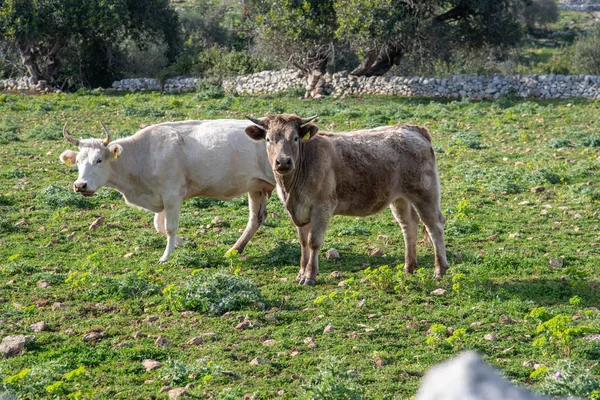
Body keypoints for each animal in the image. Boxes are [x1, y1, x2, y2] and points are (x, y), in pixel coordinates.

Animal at [59, 119, 276, 262]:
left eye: (99, 160)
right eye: (78, 161)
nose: (80, 185)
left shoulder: (172, 195)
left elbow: (170, 227)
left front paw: (166, 256)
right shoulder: (160, 198)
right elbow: (159, 226)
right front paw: (183, 241)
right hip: (256, 186)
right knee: (256, 218)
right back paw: (235, 249)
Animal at [244, 114, 446, 286]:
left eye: (295, 138)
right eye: (268, 139)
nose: (283, 162)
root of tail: (412, 129)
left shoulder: (322, 207)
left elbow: (314, 241)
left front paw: (310, 276)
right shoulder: (297, 211)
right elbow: (303, 242)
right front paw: (301, 273)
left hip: (425, 192)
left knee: (434, 225)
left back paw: (439, 270)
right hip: (400, 197)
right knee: (408, 225)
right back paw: (409, 268)